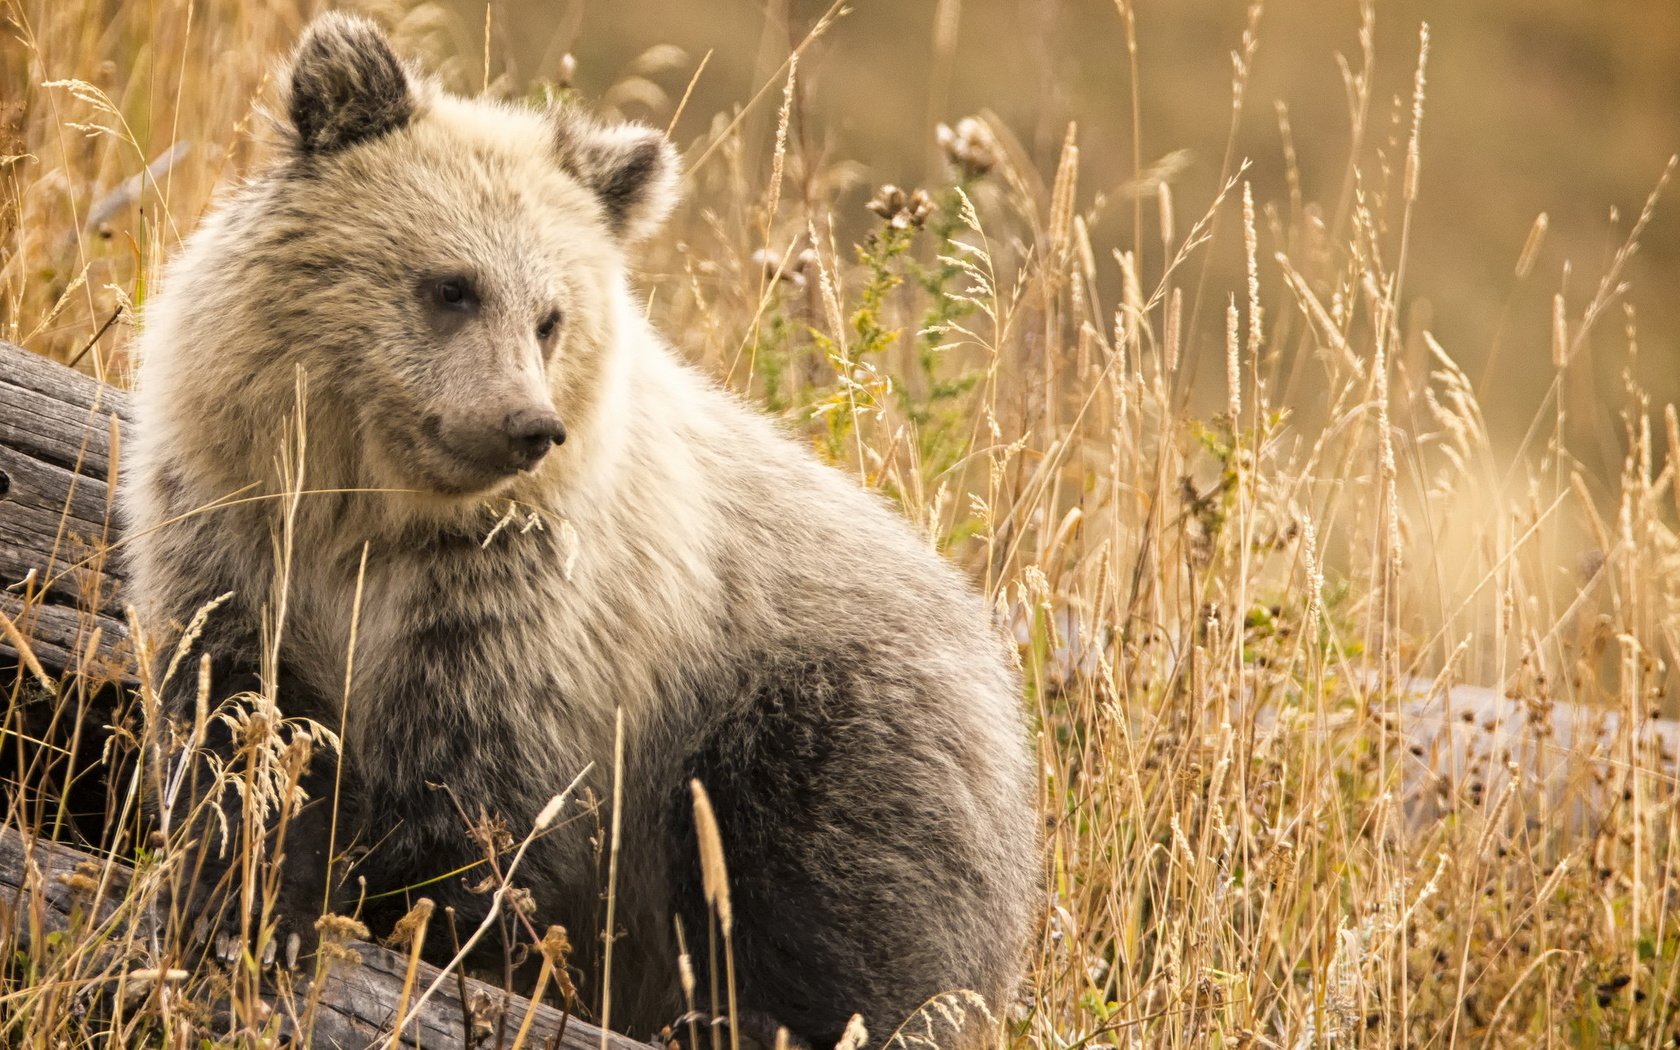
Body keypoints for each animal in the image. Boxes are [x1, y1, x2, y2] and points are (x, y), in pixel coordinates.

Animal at [124, 12, 1034, 1041]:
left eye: (551, 316)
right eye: (451, 285)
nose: (528, 425)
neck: (367, 514)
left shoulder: (524, 615)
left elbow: (476, 809)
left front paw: (377, 914)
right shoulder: (234, 536)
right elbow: (238, 723)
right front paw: (242, 901)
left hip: (824, 727)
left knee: (840, 909)